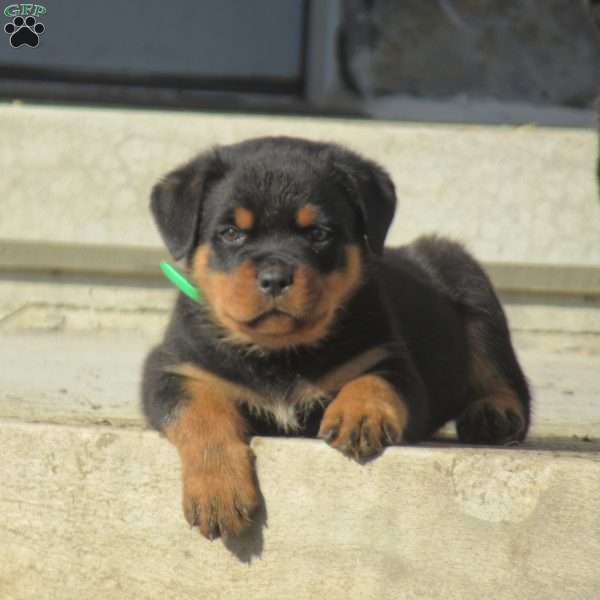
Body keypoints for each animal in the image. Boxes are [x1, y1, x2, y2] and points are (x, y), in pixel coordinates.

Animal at [142, 136, 528, 540]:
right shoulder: (174, 368)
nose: (275, 278)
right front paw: (218, 491)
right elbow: (201, 412)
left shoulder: (389, 358)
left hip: (471, 286)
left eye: (319, 234)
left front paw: (359, 414)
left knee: (505, 378)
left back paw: (494, 413)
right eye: (231, 233)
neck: (278, 354)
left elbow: (375, 380)